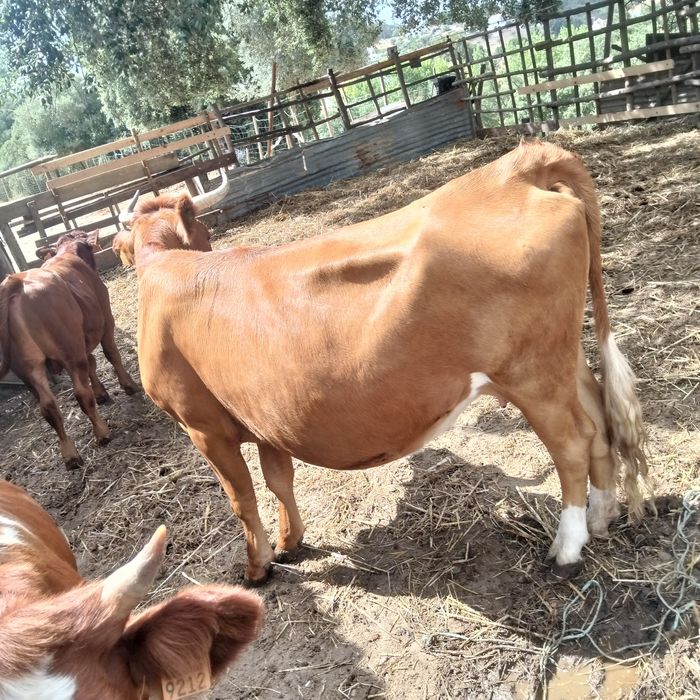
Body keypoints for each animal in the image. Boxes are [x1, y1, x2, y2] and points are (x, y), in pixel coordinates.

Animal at [0, 230, 138, 468]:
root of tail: (17, 281)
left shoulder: (84, 339)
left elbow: (93, 364)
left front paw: (101, 393)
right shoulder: (107, 322)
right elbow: (111, 354)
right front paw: (128, 385)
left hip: (29, 368)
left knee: (48, 407)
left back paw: (70, 454)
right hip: (71, 353)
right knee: (81, 393)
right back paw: (102, 432)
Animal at [120, 140, 649, 584]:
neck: (166, 266)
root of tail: (514, 168)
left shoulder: (201, 424)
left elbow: (242, 499)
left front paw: (257, 567)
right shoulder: (264, 415)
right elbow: (279, 482)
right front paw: (290, 542)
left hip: (531, 375)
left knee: (574, 443)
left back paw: (567, 546)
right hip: (562, 357)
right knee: (600, 423)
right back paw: (602, 516)